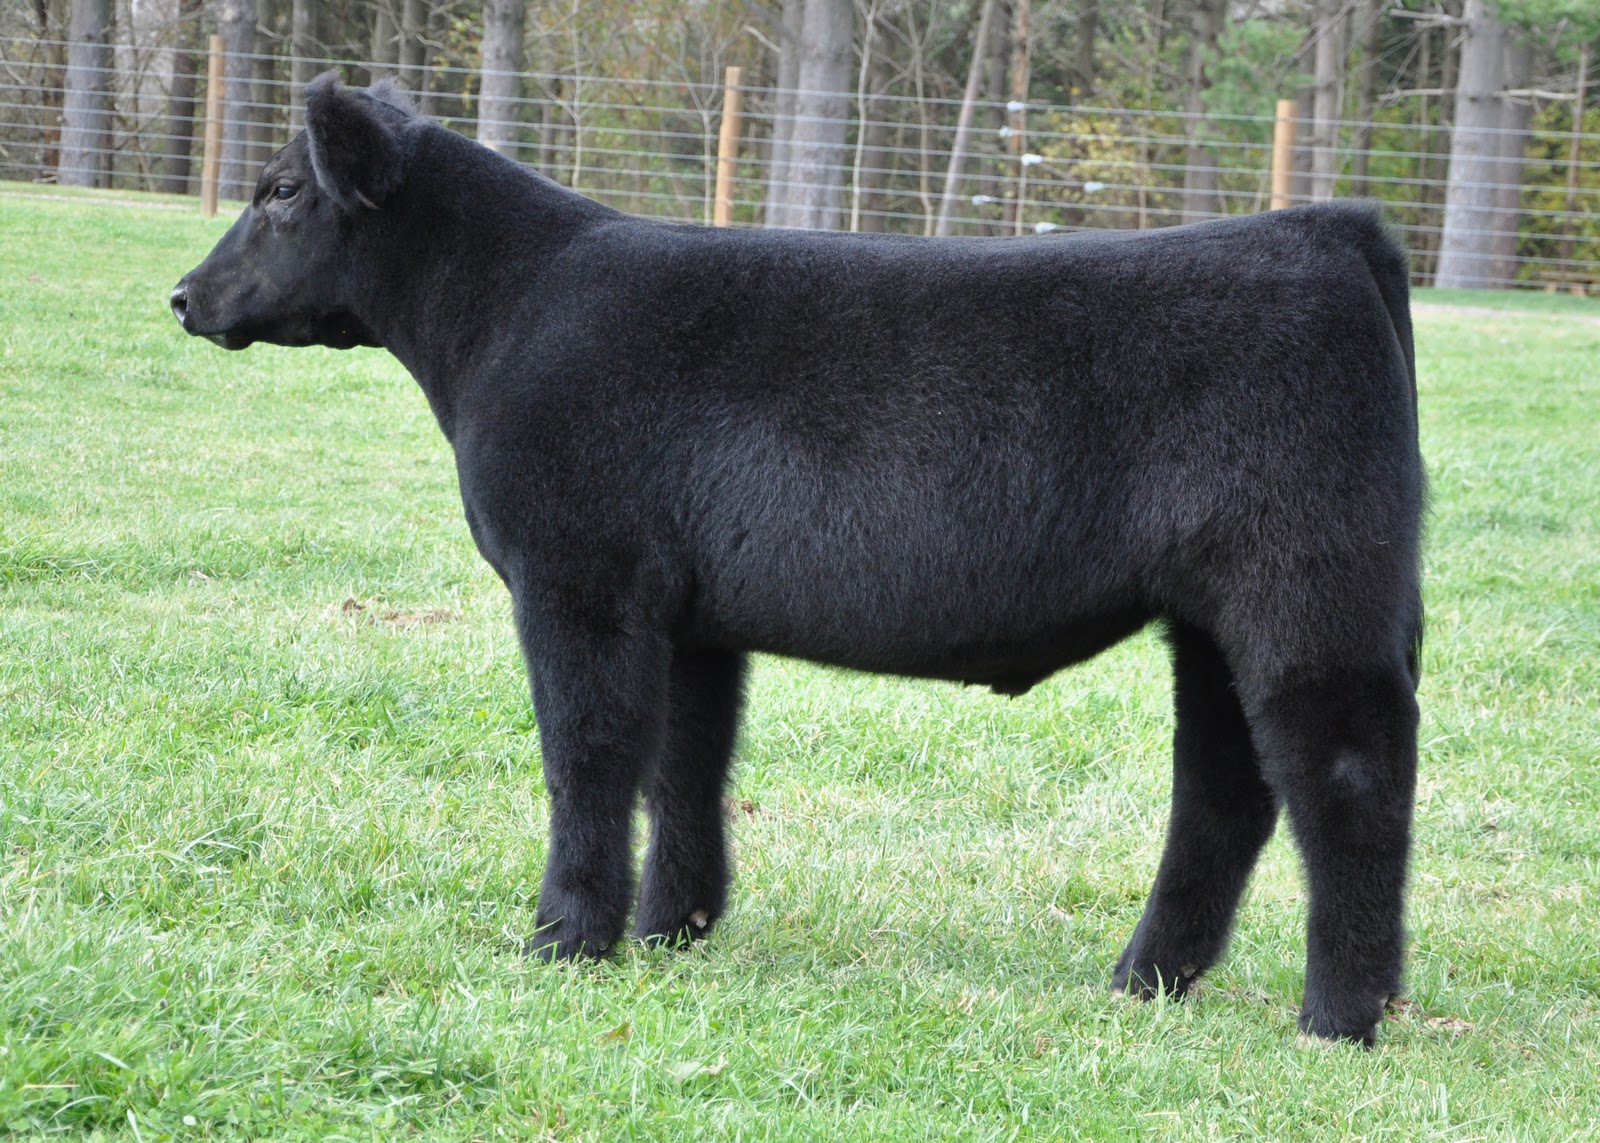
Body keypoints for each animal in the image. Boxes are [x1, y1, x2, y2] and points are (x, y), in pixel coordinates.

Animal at [171, 74, 1425, 1047]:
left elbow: (588, 758)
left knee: (1348, 776)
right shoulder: (685, 614)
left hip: (1307, 592)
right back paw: (1144, 979)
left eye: (282, 191)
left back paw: (1337, 1016)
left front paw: (565, 939)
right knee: (1225, 785)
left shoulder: (577, 579)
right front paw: (670, 928)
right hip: (1212, 616)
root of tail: (1323, 229)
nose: (184, 295)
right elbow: (683, 763)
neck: (506, 312)